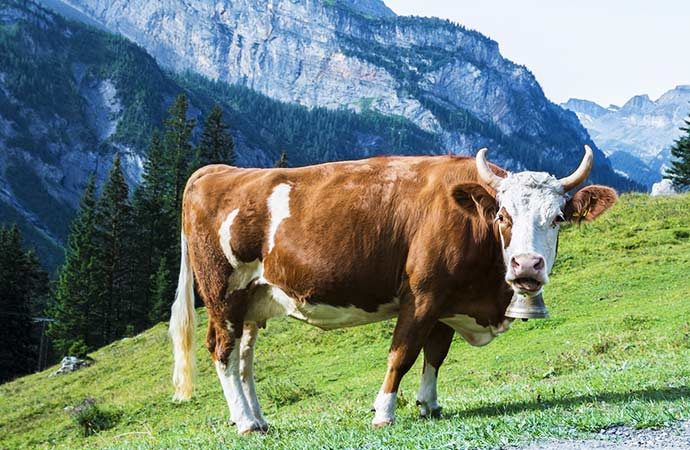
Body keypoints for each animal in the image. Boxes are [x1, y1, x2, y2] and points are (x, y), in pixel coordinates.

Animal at [168, 146, 620, 434]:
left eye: (558, 217)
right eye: (503, 216)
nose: (526, 265)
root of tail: (216, 171)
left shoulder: (447, 302)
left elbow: (435, 355)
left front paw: (429, 405)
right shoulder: (422, 295)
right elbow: (402, 355)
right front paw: (384, 412)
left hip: (254, 299)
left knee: (244, 359)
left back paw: (258, 419)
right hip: (223, 293)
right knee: (223, 352)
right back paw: (245, 423)